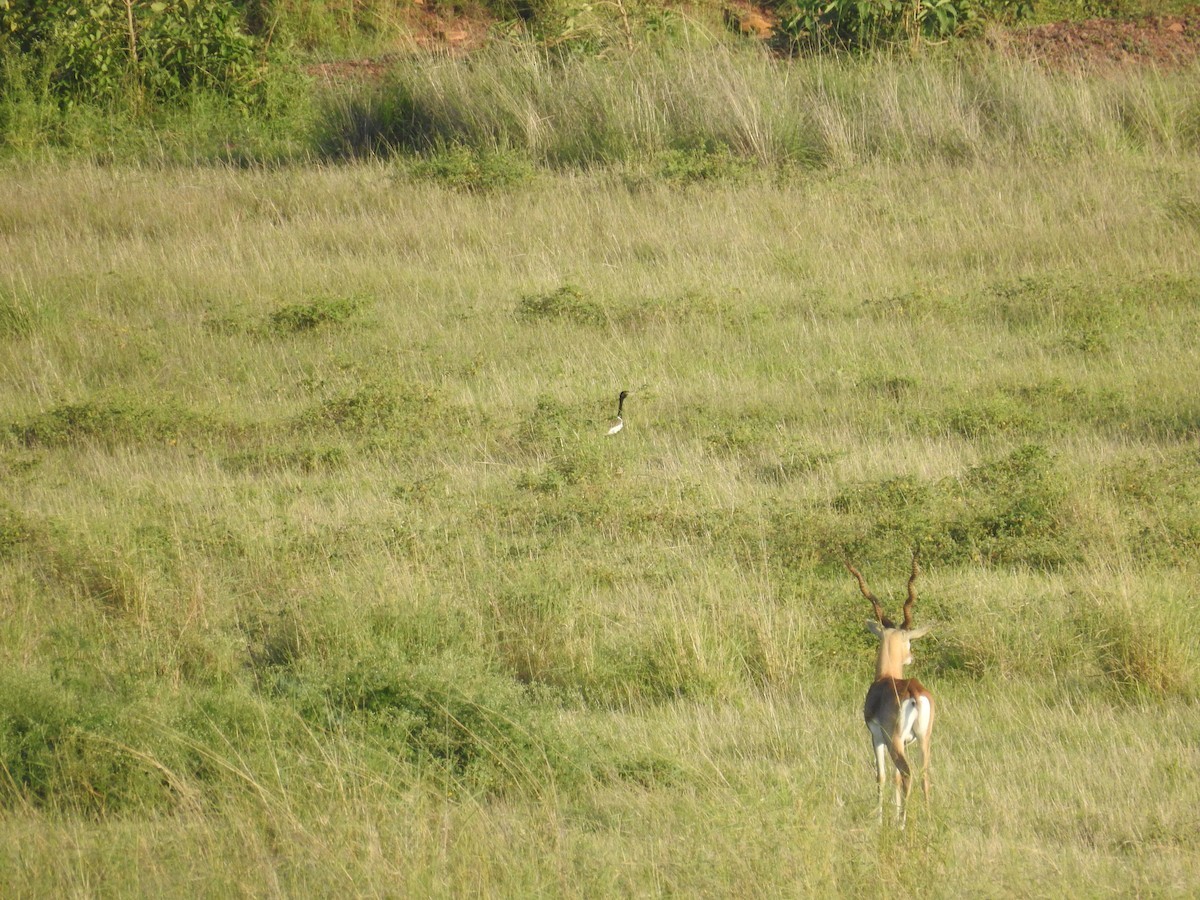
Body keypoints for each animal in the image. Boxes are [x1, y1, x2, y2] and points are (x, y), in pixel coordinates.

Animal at [849, 556, 931, 830]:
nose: (910, 657)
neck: (885, 679)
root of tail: (913, 690)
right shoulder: (906, 741)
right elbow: (893, 778)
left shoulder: (876, 737)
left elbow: (882, 775)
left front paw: (881, 819)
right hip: (924, 739)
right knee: (924, 774)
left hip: (894, 741)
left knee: (907, 773)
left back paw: (903, 824)